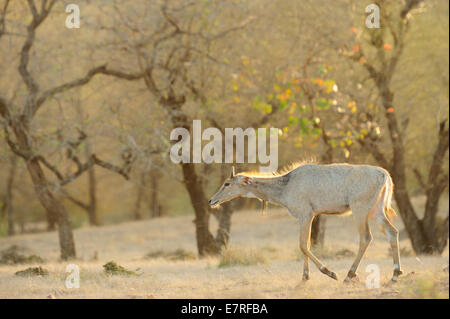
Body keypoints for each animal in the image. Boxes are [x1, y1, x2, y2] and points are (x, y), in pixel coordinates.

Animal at [209, 164, 402, 284]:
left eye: (227, 183)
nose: (211, 200)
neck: (286, 186)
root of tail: (384, 175)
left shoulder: (306, 214)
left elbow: (302, 245)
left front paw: (329, 272)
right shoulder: (309, 216)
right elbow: (307, 244)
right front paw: (305, 277)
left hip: (359, 208)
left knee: (366, 237)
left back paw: (348, 275)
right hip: (376, 210)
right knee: (392, 232)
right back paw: (395, 274)